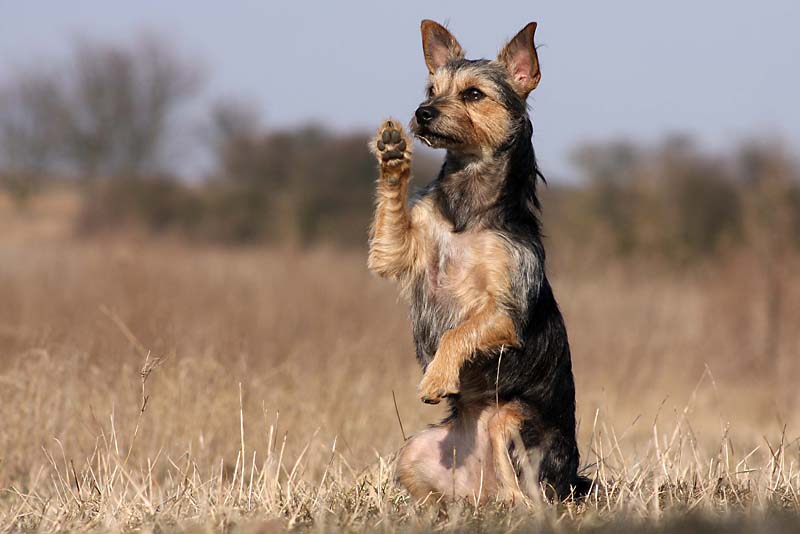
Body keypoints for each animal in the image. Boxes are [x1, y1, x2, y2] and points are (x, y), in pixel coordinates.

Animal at [368, 18, 588, 504]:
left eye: (473, 94)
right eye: (431, 89)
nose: (423, 112)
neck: (468, 205)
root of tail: (478, 489)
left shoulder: (504, 310)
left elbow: (459, 332)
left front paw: (436, 379)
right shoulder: (396, 251)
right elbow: (392, 227)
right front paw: (392, 155)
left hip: (514, 424)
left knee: (525, 495)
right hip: (414, 451)